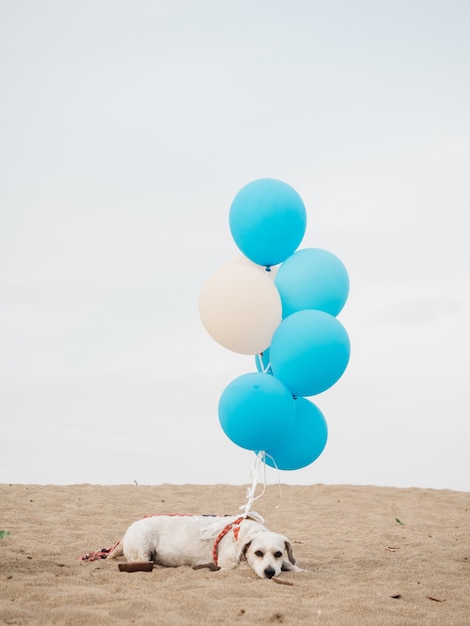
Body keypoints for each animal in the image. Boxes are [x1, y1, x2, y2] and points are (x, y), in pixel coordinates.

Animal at [108, 510, 302, 576]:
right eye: (258, 553)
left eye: (278, 553)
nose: (269, 572)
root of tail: (128, 530)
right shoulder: (228, 564)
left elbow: (288, 563)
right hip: (142, 550)